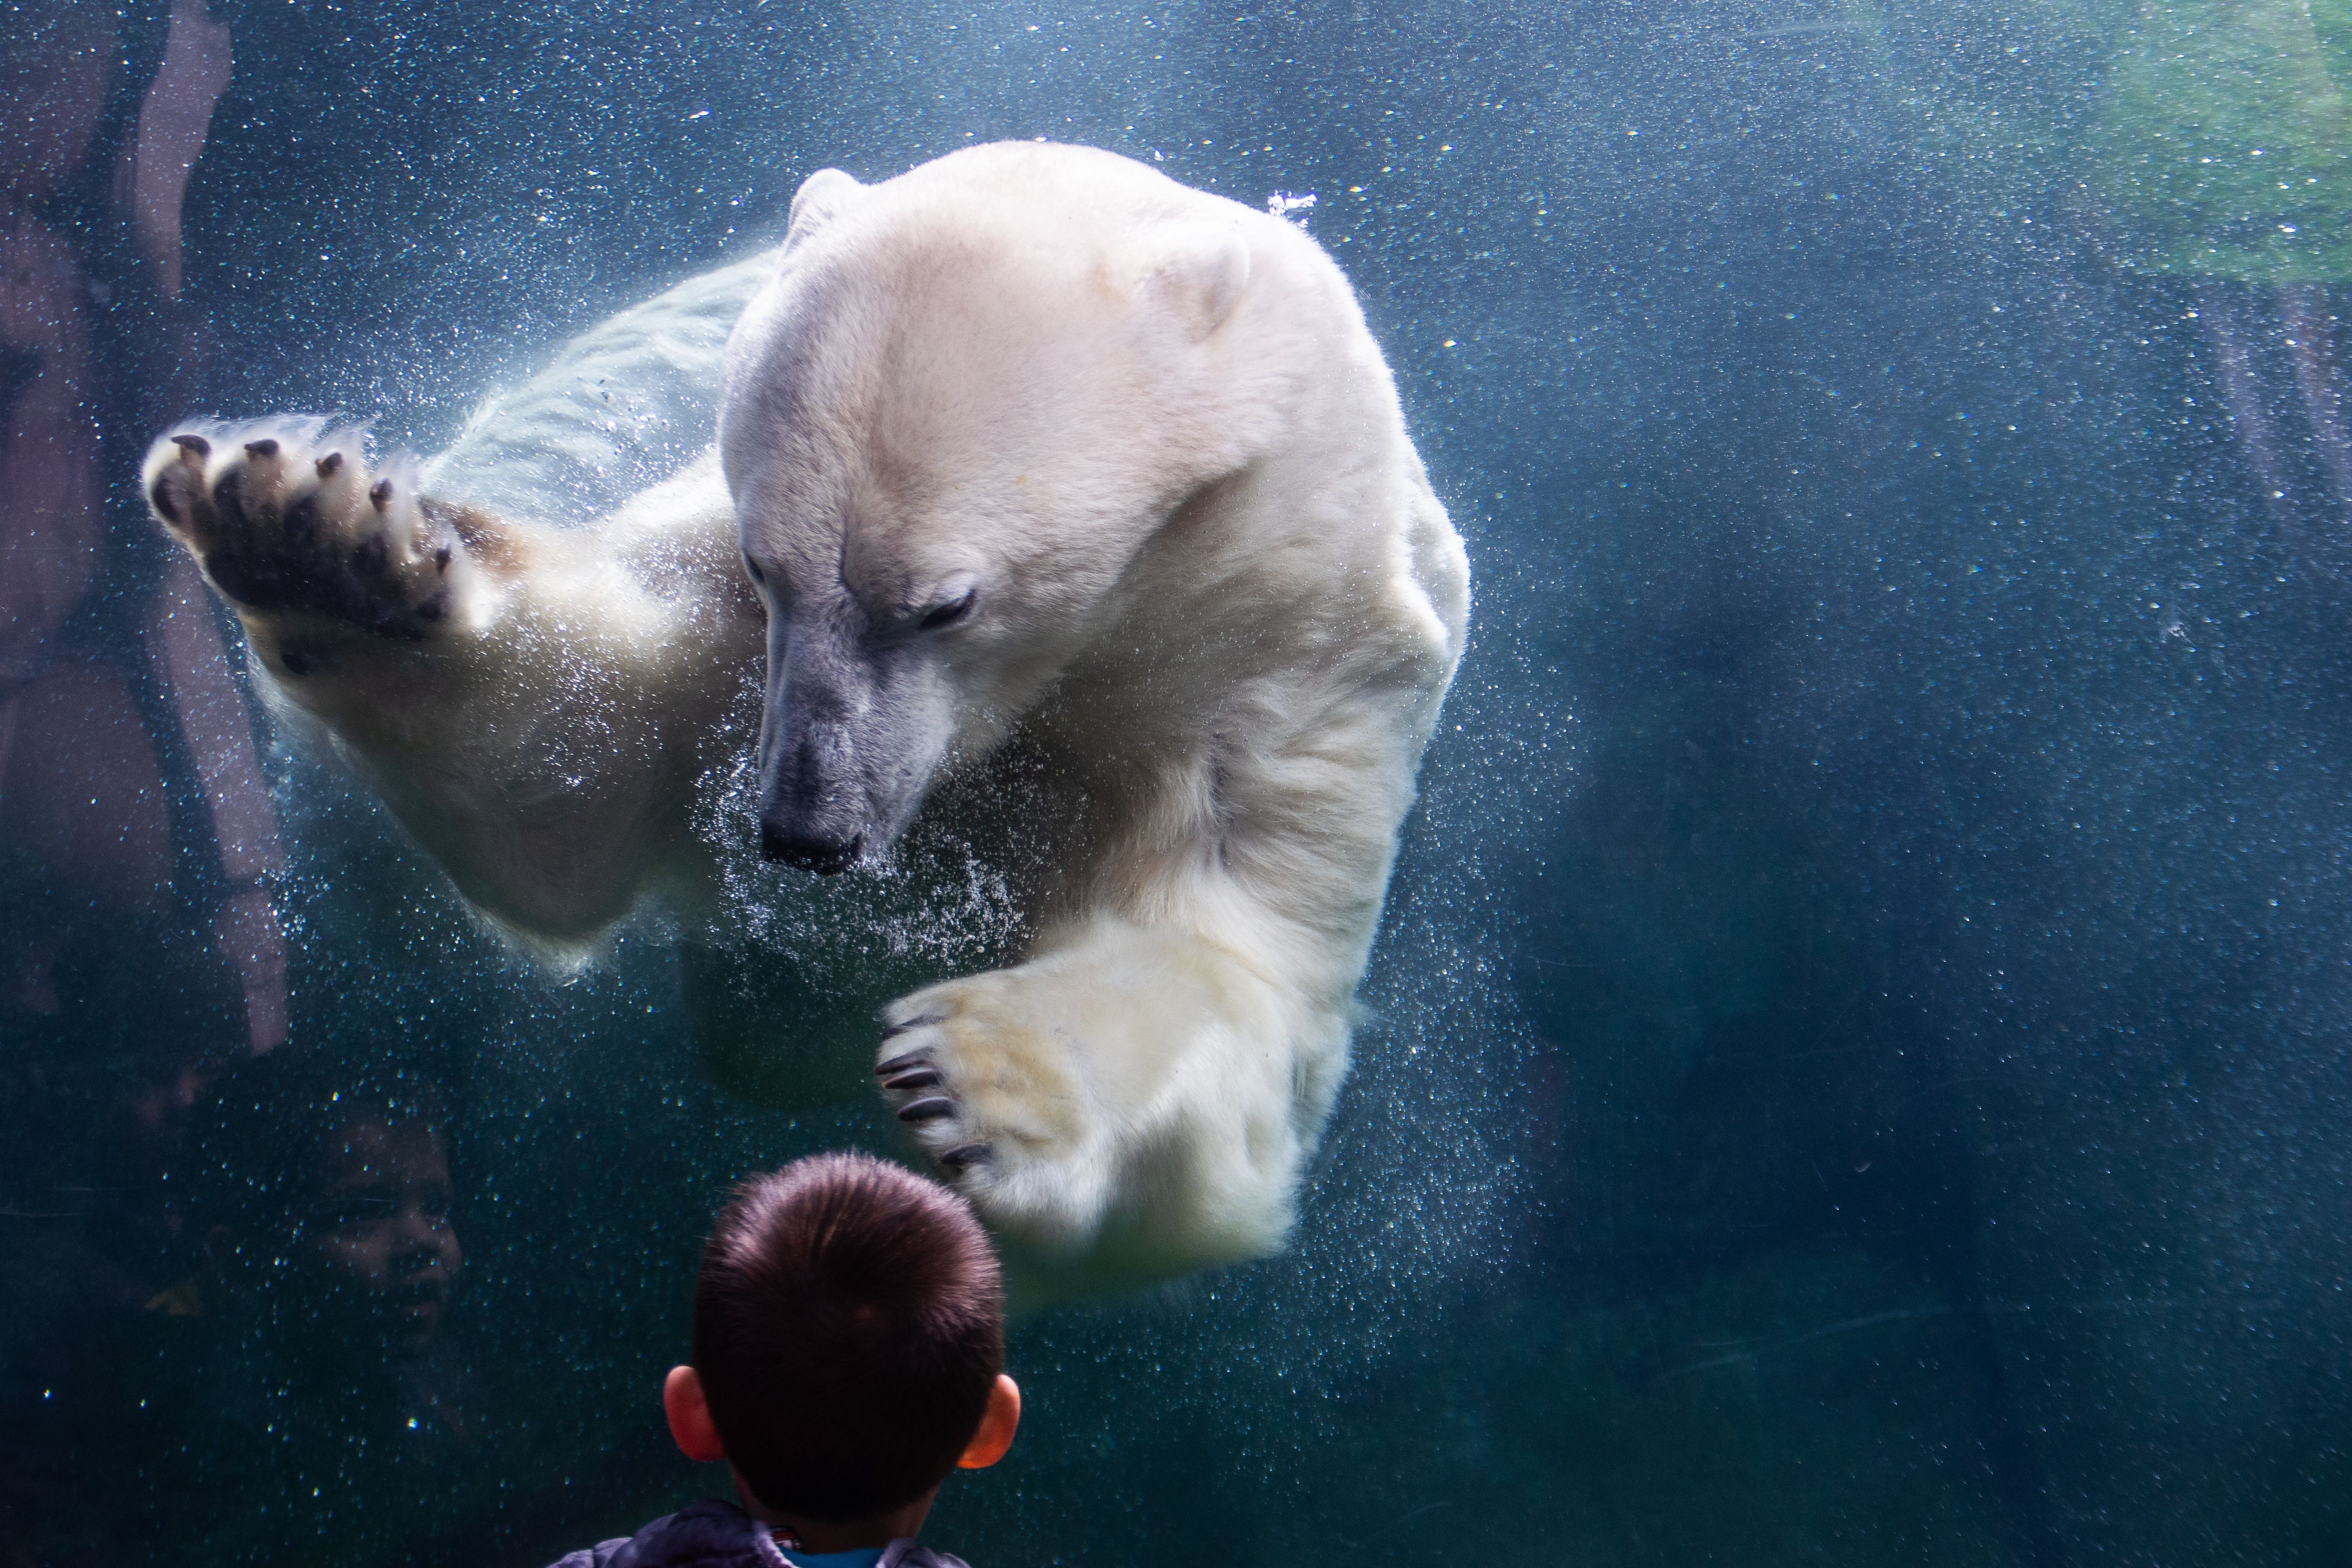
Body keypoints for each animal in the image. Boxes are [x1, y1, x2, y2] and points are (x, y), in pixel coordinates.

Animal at [144, 142, 1469, 1288]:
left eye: (946, 602)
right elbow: (578, 781)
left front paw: (973, 1075)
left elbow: (1237, 970)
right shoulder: (737, 634)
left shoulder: (1275, 674)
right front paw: (309, 543)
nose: (803, 825)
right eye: (765, 557)